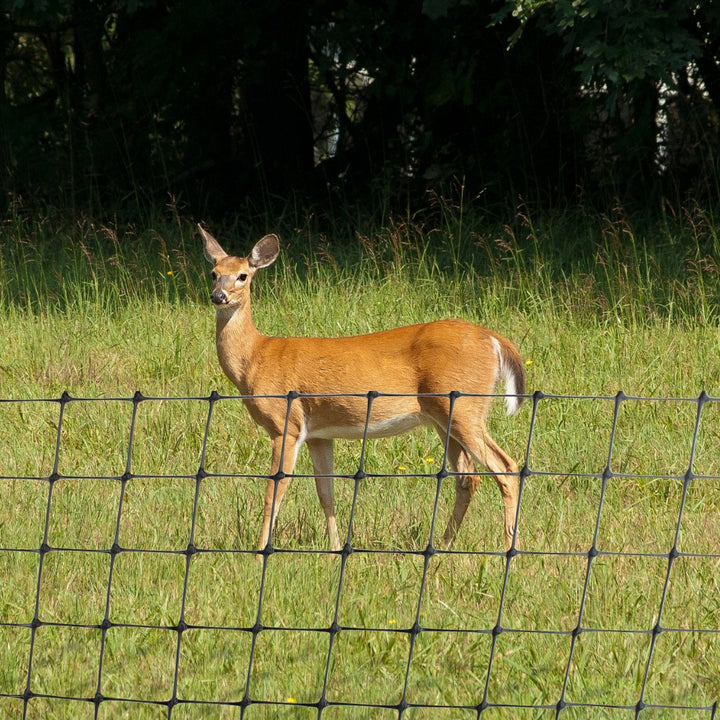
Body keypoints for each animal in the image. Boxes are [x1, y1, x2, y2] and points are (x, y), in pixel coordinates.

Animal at [200, 225, 524, 556]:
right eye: (214, 273)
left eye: (242, 275)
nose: (218, 296)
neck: (256, 357)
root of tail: (495, 340)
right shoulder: (318, 434)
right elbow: (325, 492)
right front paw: (334, 548)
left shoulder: (284, 424)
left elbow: (274, 490)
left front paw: (259, 552)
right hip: (444, 417)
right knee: (468, 477)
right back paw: (444, 545)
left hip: (464, 407)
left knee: (506, 467)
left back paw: (510, 547)